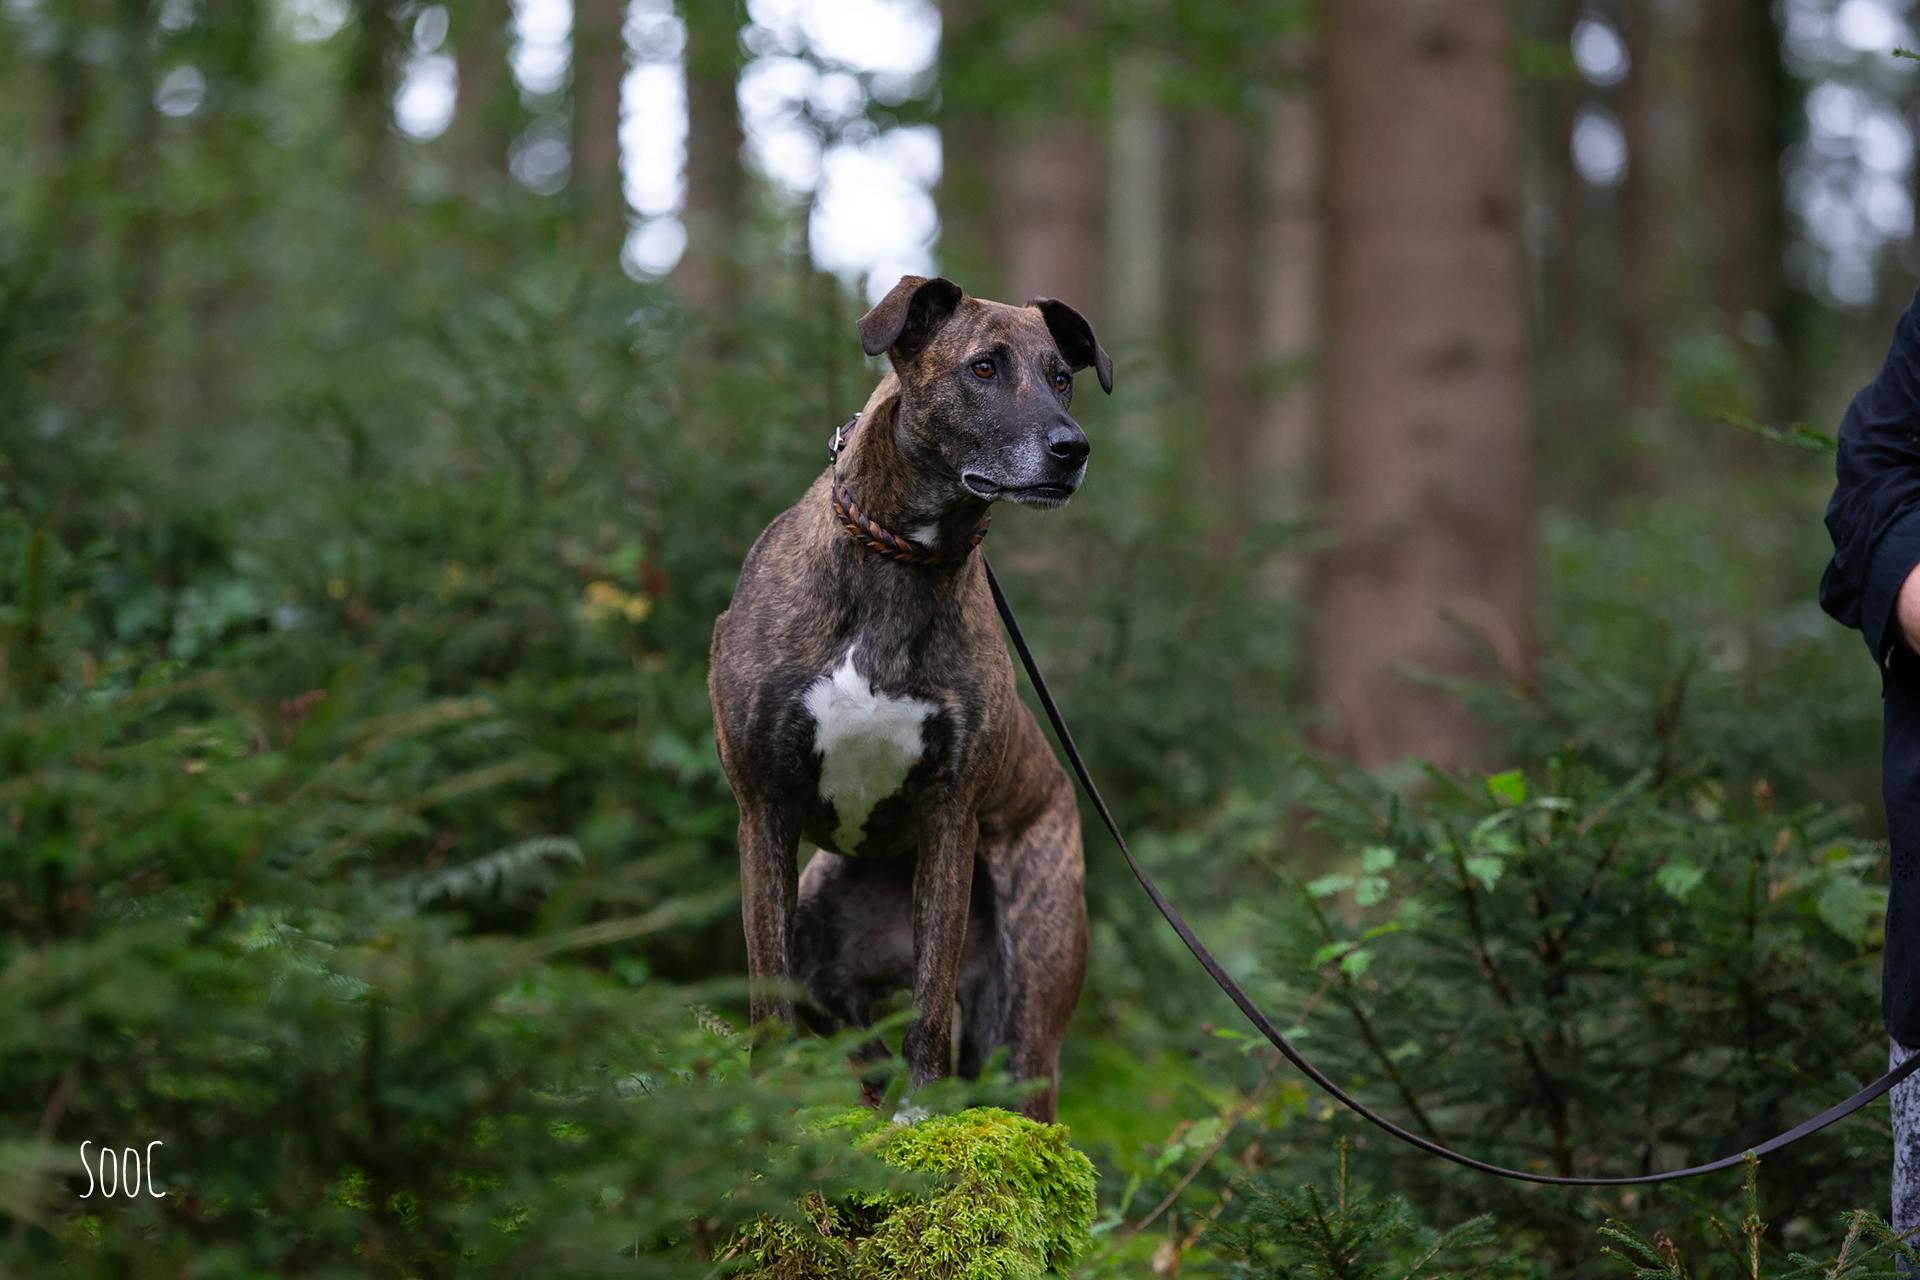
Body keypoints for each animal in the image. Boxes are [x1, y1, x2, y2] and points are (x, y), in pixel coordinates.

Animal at [714, 272, 1121, 1120]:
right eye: (984, 367)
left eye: (1062, 378)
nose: (1072, 449)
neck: (901, 559)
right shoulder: (762, 805)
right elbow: (766, 989)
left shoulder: (950, 813)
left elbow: (931, 1000)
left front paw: (921, 1113)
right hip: (822, 931)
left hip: (1027, 1001)